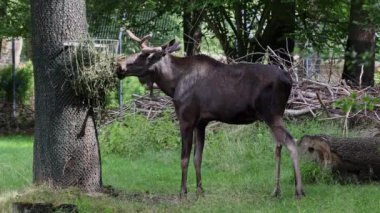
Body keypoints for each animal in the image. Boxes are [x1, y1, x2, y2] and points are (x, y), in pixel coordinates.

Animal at [117, 30, 304, 199]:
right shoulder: (201, 122)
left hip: (272, 115)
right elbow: (197, 158)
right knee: (278, 146)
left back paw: (298, 190)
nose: (119, 67)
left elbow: (184, 158)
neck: (173, 83)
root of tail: (289, 80)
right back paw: (276, 190)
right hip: (271, 117)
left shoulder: (186, 119)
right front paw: (200, 191)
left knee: (291, 143)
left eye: (145, 56)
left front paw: (183, 192)